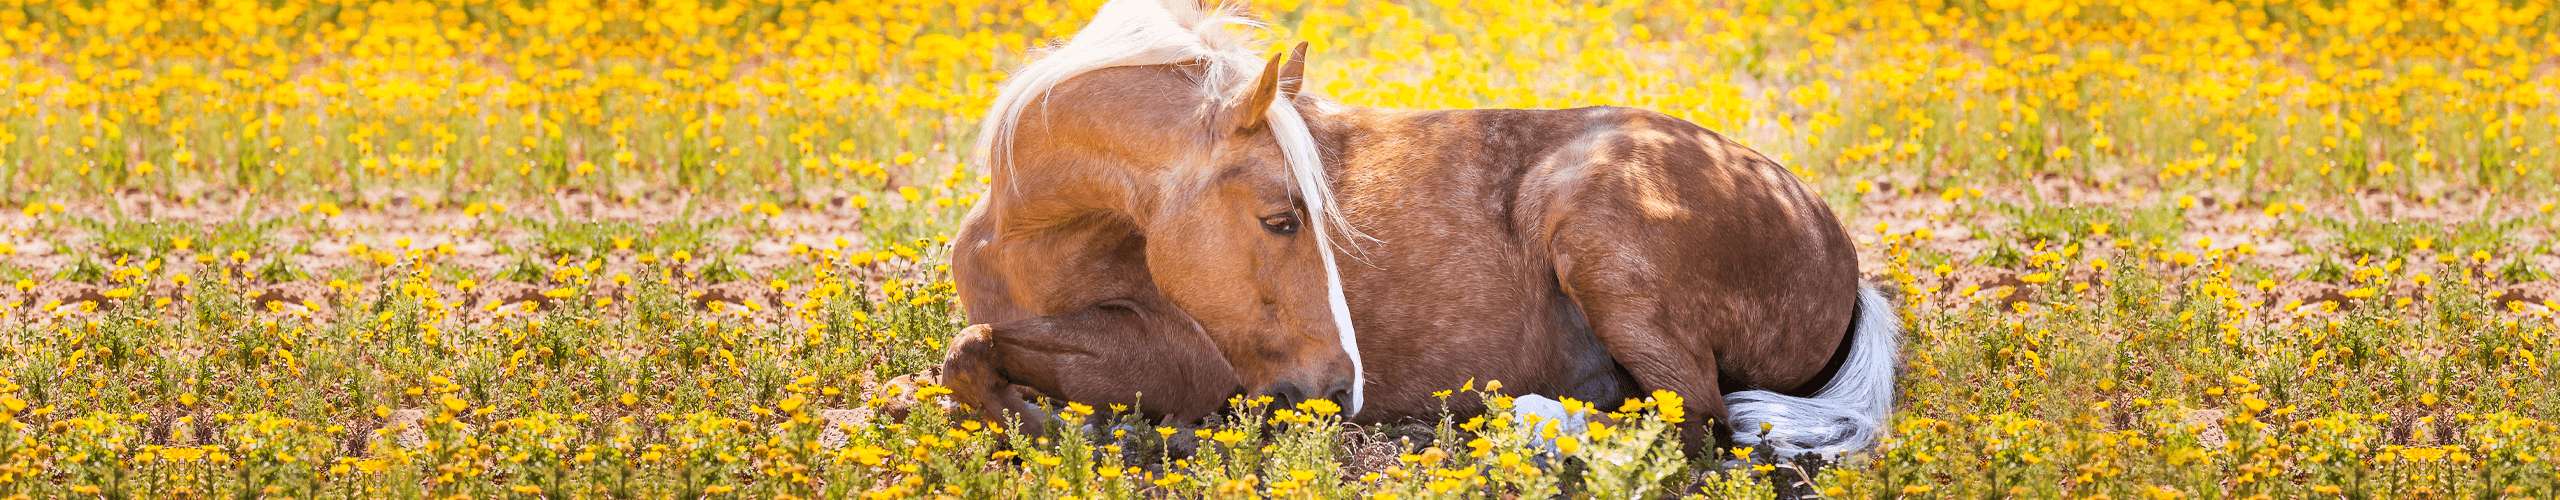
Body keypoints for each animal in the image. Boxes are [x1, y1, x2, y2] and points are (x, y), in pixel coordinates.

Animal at [926, 0, 1904, 456]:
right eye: (1282, 219)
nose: (1338, 387)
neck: (1030, 241)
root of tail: (1835, 247)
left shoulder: (1179, 360)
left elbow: (974, 351)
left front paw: (1106, 432)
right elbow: (972, 350)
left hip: (1598, 233)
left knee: (1692, 419)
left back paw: (1530, 420)